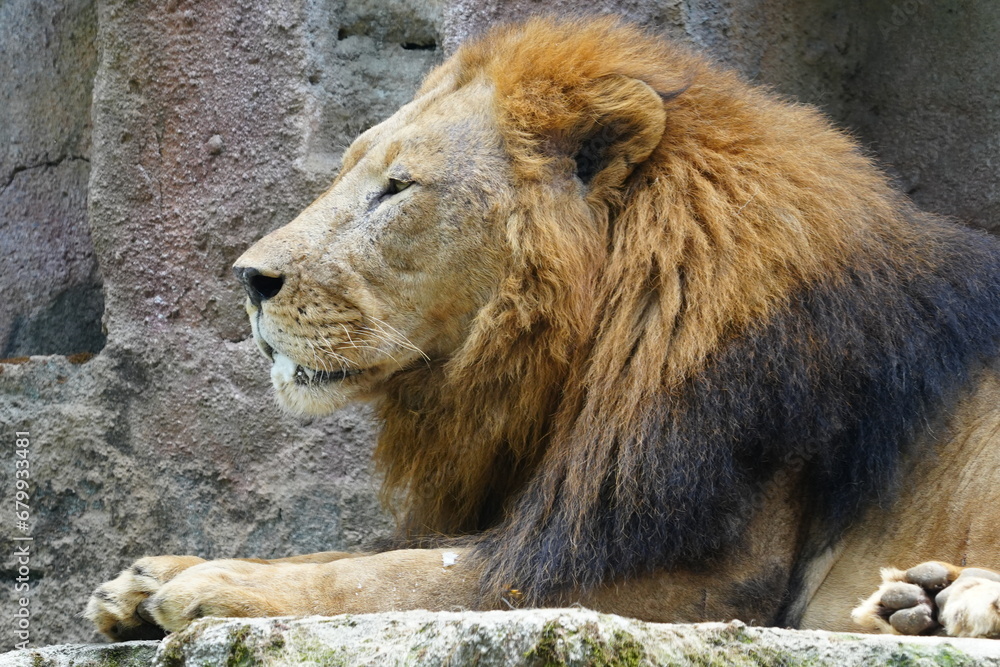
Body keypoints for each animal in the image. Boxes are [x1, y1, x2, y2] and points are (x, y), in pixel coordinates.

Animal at [84, 15, 1000, 640]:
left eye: (399, 188)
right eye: (347, 171)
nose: (248, 279)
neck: (574, 362)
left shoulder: (701, 575)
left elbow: (405, 575)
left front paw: (214, 583)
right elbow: (368, 551)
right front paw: (148, 576)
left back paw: (948, 597)